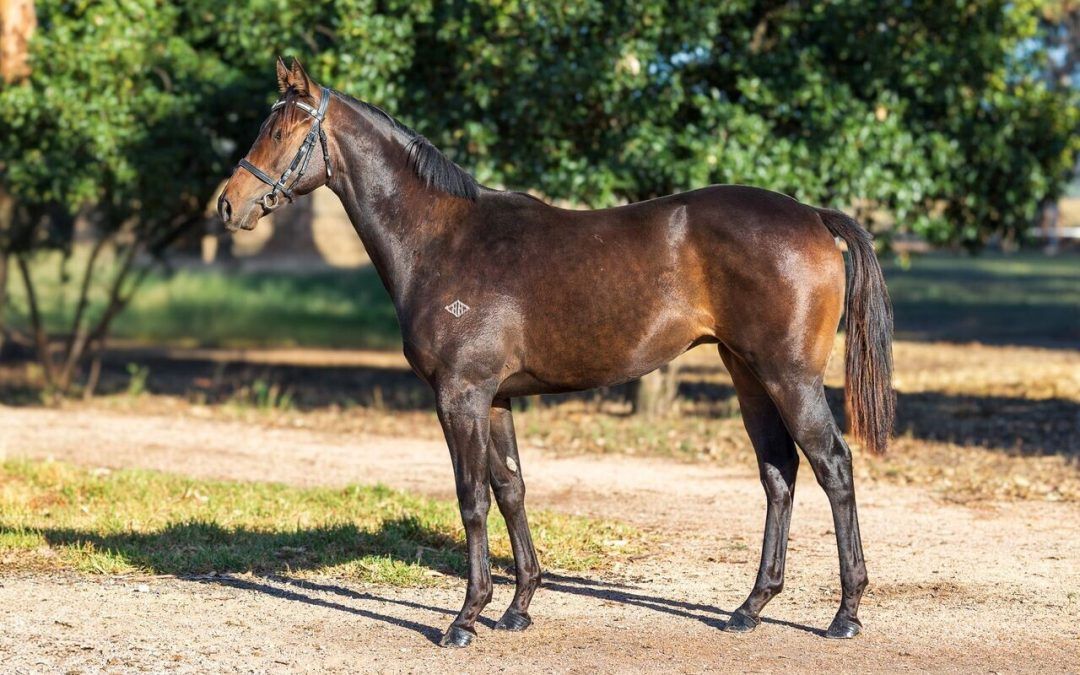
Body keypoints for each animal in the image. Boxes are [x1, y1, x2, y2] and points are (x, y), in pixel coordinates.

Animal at [217, 59, 894, 648]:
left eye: (280, 130)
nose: (228, 203)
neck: (443, 238)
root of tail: (812, 215)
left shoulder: (460, 397)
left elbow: (472, 499)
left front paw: (465, 618)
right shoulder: (495, 400)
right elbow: (511, 489)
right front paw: (518, 607)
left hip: (790, 377)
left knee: (834, 467)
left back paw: (846, 614)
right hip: (748, 374)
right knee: (779, 473)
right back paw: (751, 607)